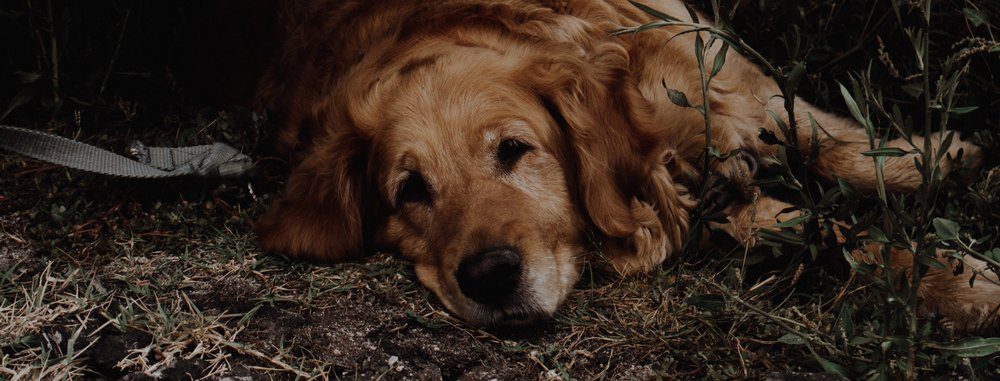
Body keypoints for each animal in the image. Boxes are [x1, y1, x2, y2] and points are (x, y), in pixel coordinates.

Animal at [250, 0, 992, 326]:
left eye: (513, 149)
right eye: (409, 191)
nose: (490, 276)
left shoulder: (715, 70)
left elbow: (822, 136)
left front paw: (934, 159)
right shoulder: (702, 206)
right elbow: (834, 235)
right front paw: (964, 283)